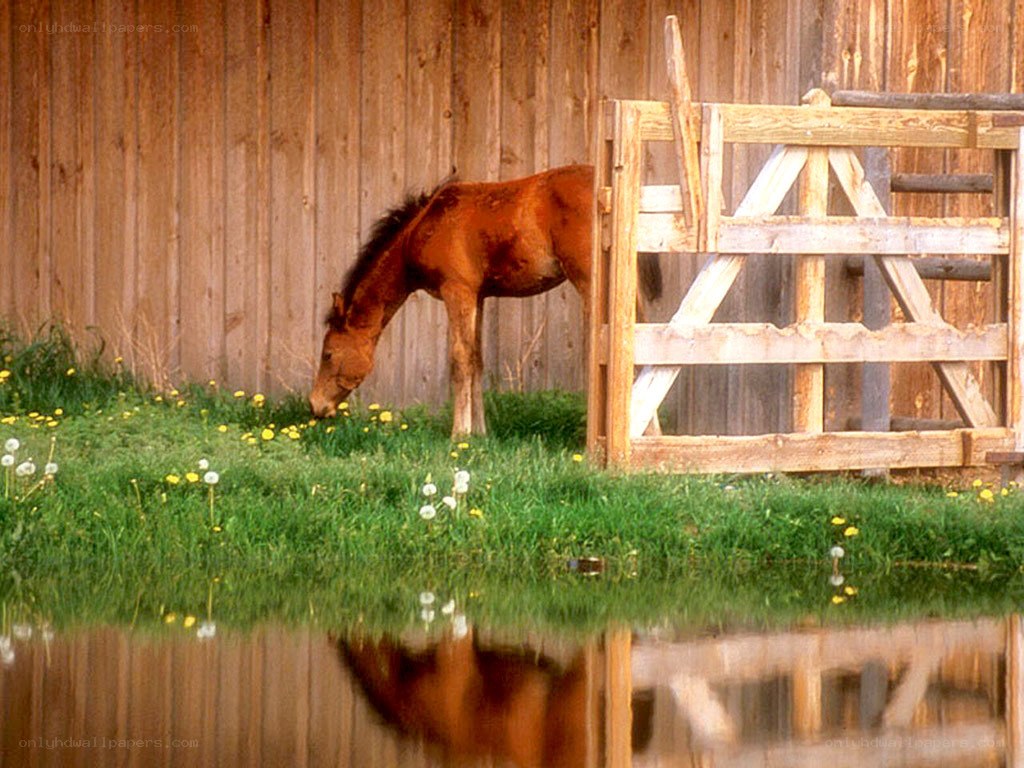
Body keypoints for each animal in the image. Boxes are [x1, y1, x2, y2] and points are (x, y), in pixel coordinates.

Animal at [309, 165, 661, 437]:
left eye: (328, 354)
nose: (315, 405)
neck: (425, 226)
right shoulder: (478, 296)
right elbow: (476, 360)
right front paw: (479, 433)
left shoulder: (458, 291)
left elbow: (460, 360)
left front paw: (459, 434)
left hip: (590, 284)